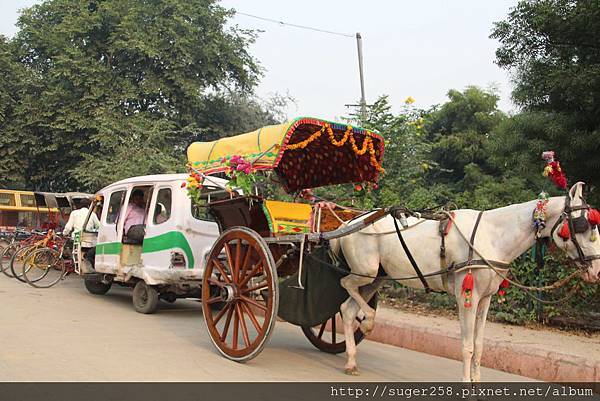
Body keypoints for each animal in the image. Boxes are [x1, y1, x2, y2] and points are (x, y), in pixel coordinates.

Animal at [332, 182, 600, 382]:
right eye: (582, 225)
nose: (596, 269)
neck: (491, 236)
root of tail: (349, 222)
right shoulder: (467, 296)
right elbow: (467, 346)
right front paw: (465, 384)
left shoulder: (486, 298)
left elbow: (479, 345)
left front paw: (477, 383)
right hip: (366, 270)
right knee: (347, 285)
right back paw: (368, 321)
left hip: (377, 277)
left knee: (347, 308)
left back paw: (352, 359)